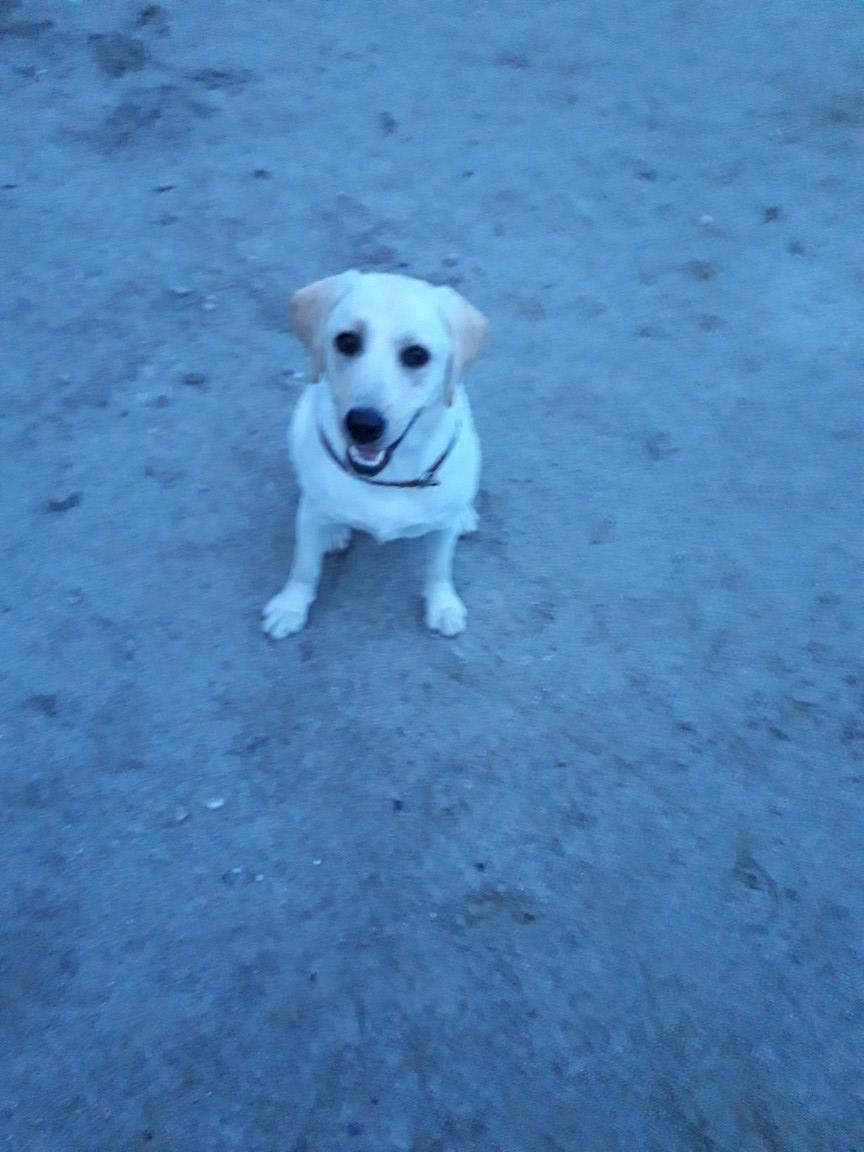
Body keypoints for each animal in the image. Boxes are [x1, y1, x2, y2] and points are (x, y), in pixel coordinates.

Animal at [262, 269, 489, 638]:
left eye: (416, 355)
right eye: (347, 341)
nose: (362, 425)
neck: (387, 479)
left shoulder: (441, 533)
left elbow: (438, 569)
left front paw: (443, 606)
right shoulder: (308, 518)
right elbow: (304, 567)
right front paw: (289, 606)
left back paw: (465, 516)